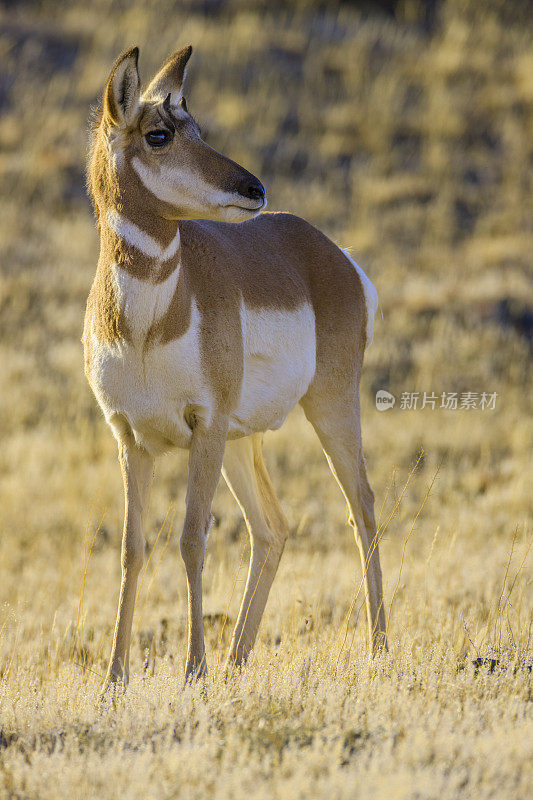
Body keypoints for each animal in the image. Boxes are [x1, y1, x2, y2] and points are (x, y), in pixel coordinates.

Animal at [83, 47, 386, 692]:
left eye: (198, 127)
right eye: (160, 133)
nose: (254, 187)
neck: (147, 326)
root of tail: (333, 253)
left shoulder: (204, 426)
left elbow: (191, 540)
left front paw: (192, 669)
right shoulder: (131, 438)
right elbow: (130, 549)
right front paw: (115, 680)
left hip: (326, 408)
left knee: (362, 510)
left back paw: (379, 649)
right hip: (243, 441)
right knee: (272, 528)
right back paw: (235, 660)